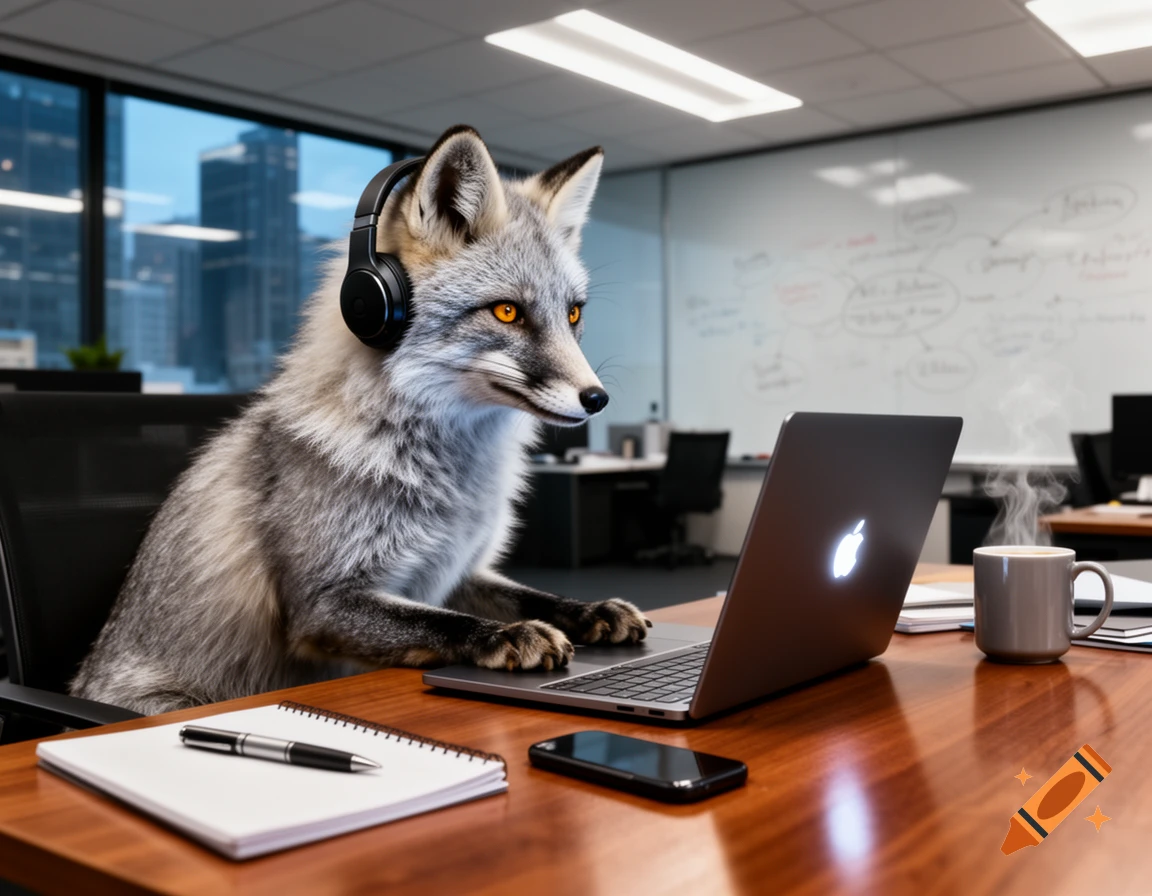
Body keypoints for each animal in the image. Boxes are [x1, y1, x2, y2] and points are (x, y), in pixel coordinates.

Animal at [71, 125, 651, 715]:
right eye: (508, 312)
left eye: (573, 314)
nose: (596, 399)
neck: (446, 479)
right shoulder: (323, 602)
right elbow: (444, 625)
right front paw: (503, 636)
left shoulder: (454, 570)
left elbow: (530, 596)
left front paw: (587, 611)